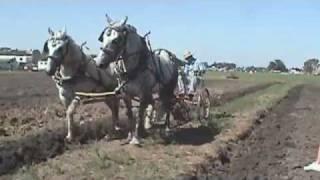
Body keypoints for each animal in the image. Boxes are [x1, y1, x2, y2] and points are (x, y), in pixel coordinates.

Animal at [95, 15, 180, 145]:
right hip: (160, 89)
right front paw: (130, 136)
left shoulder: (142, 93)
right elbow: (130, 115)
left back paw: (167, 128)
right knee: (159, 103)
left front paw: (136, 138)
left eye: (116, 40)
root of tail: (169, 56)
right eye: (103, 38)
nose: (99, 63)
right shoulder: (126, 94)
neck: (136, 65)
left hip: (170, 88)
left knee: (168, 105)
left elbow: (139, 114)